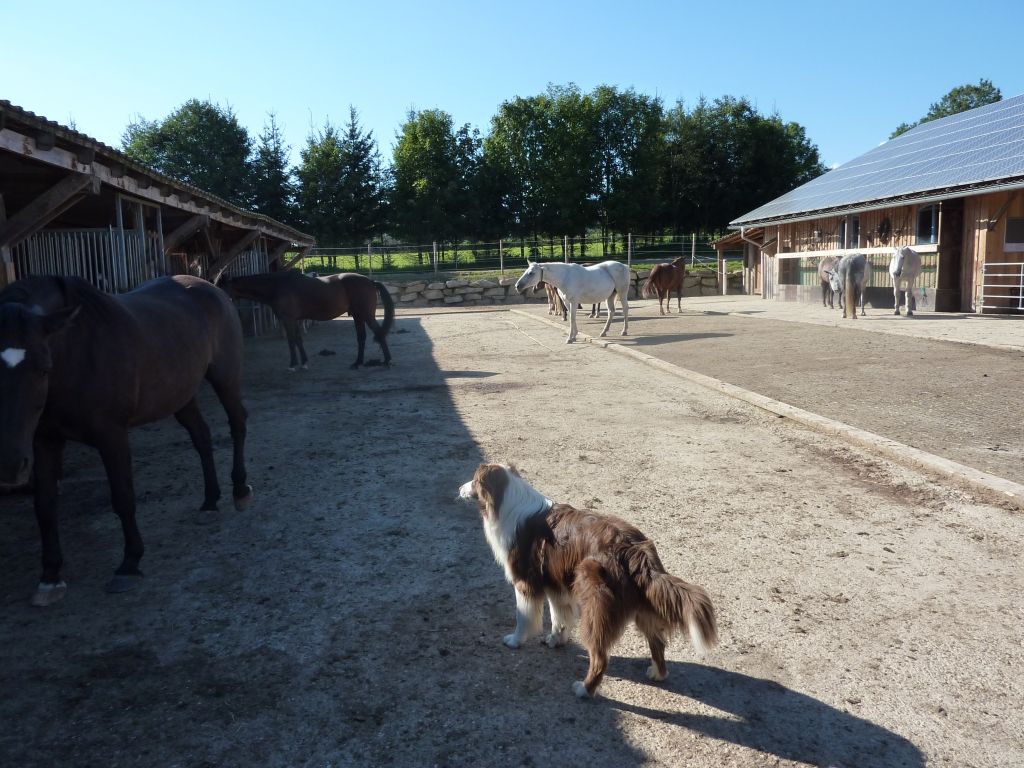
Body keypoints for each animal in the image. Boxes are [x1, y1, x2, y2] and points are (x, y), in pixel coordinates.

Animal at [0, 275, 252, 606]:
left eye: (43, 368)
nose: (9, 466)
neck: (76, 351)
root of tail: (212, 287)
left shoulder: (112, 435)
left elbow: (122, 497)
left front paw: (129, 564)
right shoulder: (45, 439)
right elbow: (44, 506)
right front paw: (50, 577)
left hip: (225, 378)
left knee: (237, 424)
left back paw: (240, 490)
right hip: (180, 396)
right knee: (202, 437)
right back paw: (210, 502)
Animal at [218, 270, 395, 370]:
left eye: (221, 286)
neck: (277, 286)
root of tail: (370, 281)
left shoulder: (288, 319)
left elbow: (291, 341)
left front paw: (292, 365)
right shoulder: (295, 320)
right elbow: (298, 340)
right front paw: (304, 363)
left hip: (366, 315)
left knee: (378, 333)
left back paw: (387, 361)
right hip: (357, 316)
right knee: (361, 338)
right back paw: (357, 363)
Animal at [459, 463, 717, 698]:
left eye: (474, 480)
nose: (459, 488)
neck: (504, 501)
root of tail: (634, 549)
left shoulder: (525, 583)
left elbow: (523, 617)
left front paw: (514, 641)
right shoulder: (557, 585)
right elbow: (558, 617)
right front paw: (556, 640)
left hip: (595, 604)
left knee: (600, 656)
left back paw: (584, 689)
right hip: (642, 605)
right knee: (657, 642)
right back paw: (657, 673)